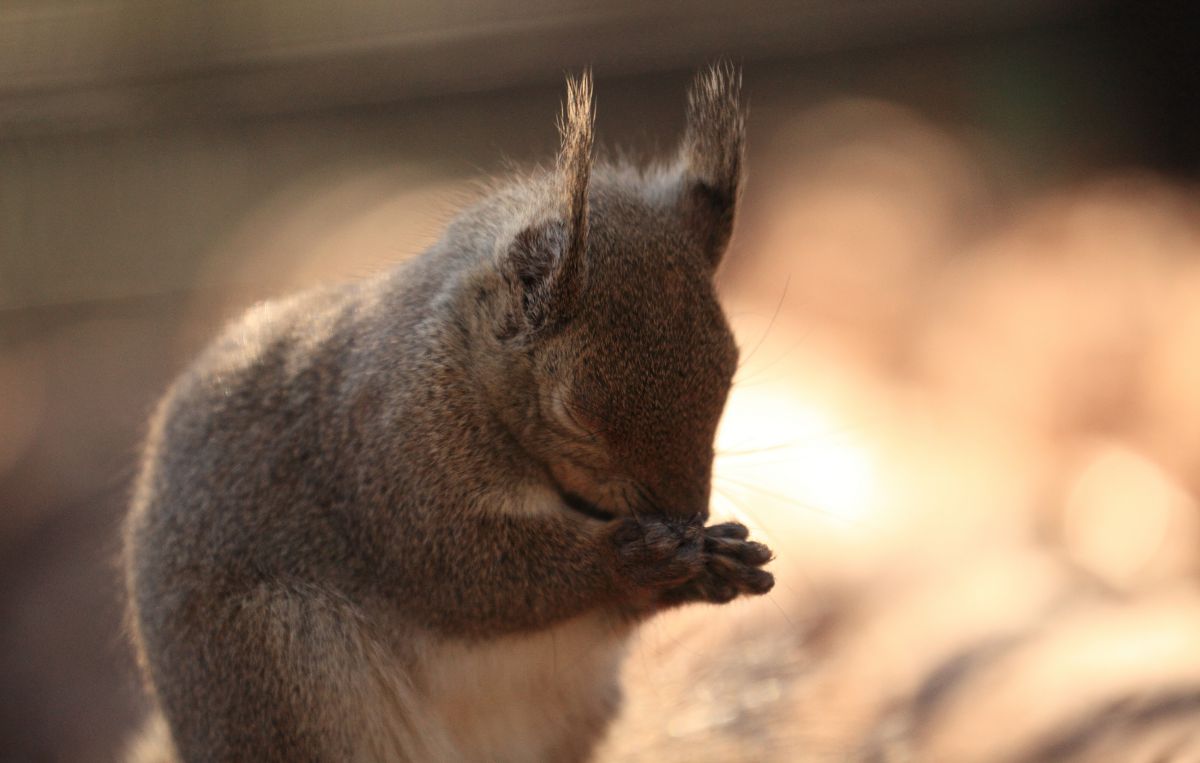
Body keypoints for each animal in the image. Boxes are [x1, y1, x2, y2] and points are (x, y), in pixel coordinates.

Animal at [124, 65, 777, 763]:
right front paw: (631, 559)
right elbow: (469, 569)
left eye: (730, 372)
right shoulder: (391, 460)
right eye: (576, 418)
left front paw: (716, 566)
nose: (686, 517)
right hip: (285, 660)